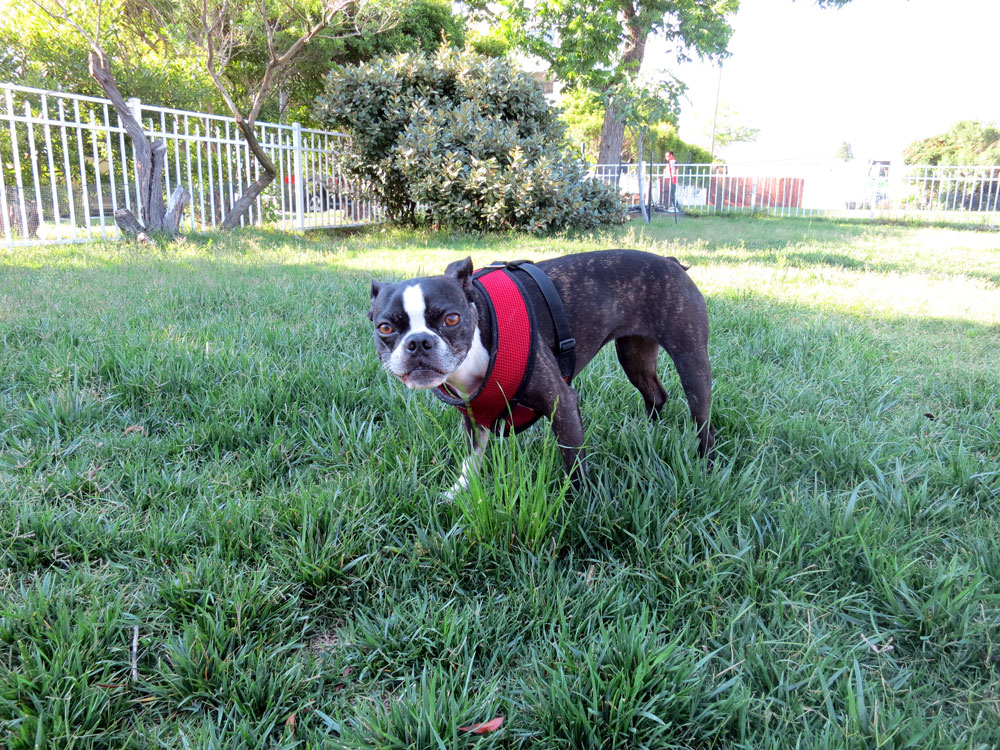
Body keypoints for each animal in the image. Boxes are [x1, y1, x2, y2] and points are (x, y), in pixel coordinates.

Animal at [372, 248, 716, 494]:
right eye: (385, 327)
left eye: (452, 319)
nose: (419, 342)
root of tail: (671, 263)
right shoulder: (473, 415)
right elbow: (472, 459)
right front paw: (458, 493)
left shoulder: (561, 402)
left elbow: (573, 460)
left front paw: (581, 505)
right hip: (634, 355)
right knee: (656, 394)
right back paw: (648, 430)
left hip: (690, 358)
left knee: (703, 417)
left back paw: (705, 463)